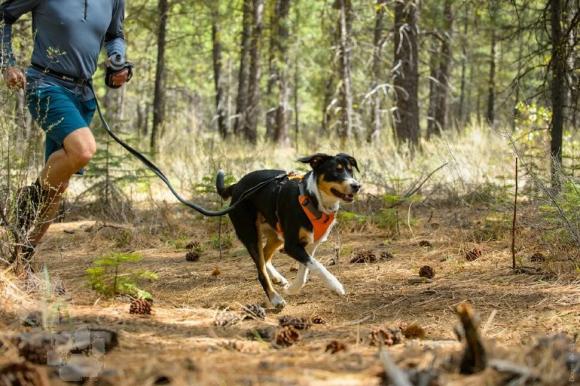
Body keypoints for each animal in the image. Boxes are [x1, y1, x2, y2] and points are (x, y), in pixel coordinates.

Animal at [215, 152, 360, 306]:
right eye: (336, 171)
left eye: (350, 170)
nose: (357, 186)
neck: (313, 199)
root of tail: (236, 186)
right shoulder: (291, 246)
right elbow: (318, 266)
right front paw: (335, 285)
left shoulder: (310, 245)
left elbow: (305, 271)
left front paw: (292, 289)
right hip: (251, 235)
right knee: (260, 271)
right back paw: (275, 298)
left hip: (276, 235)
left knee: (264, 257)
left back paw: (277, 278)